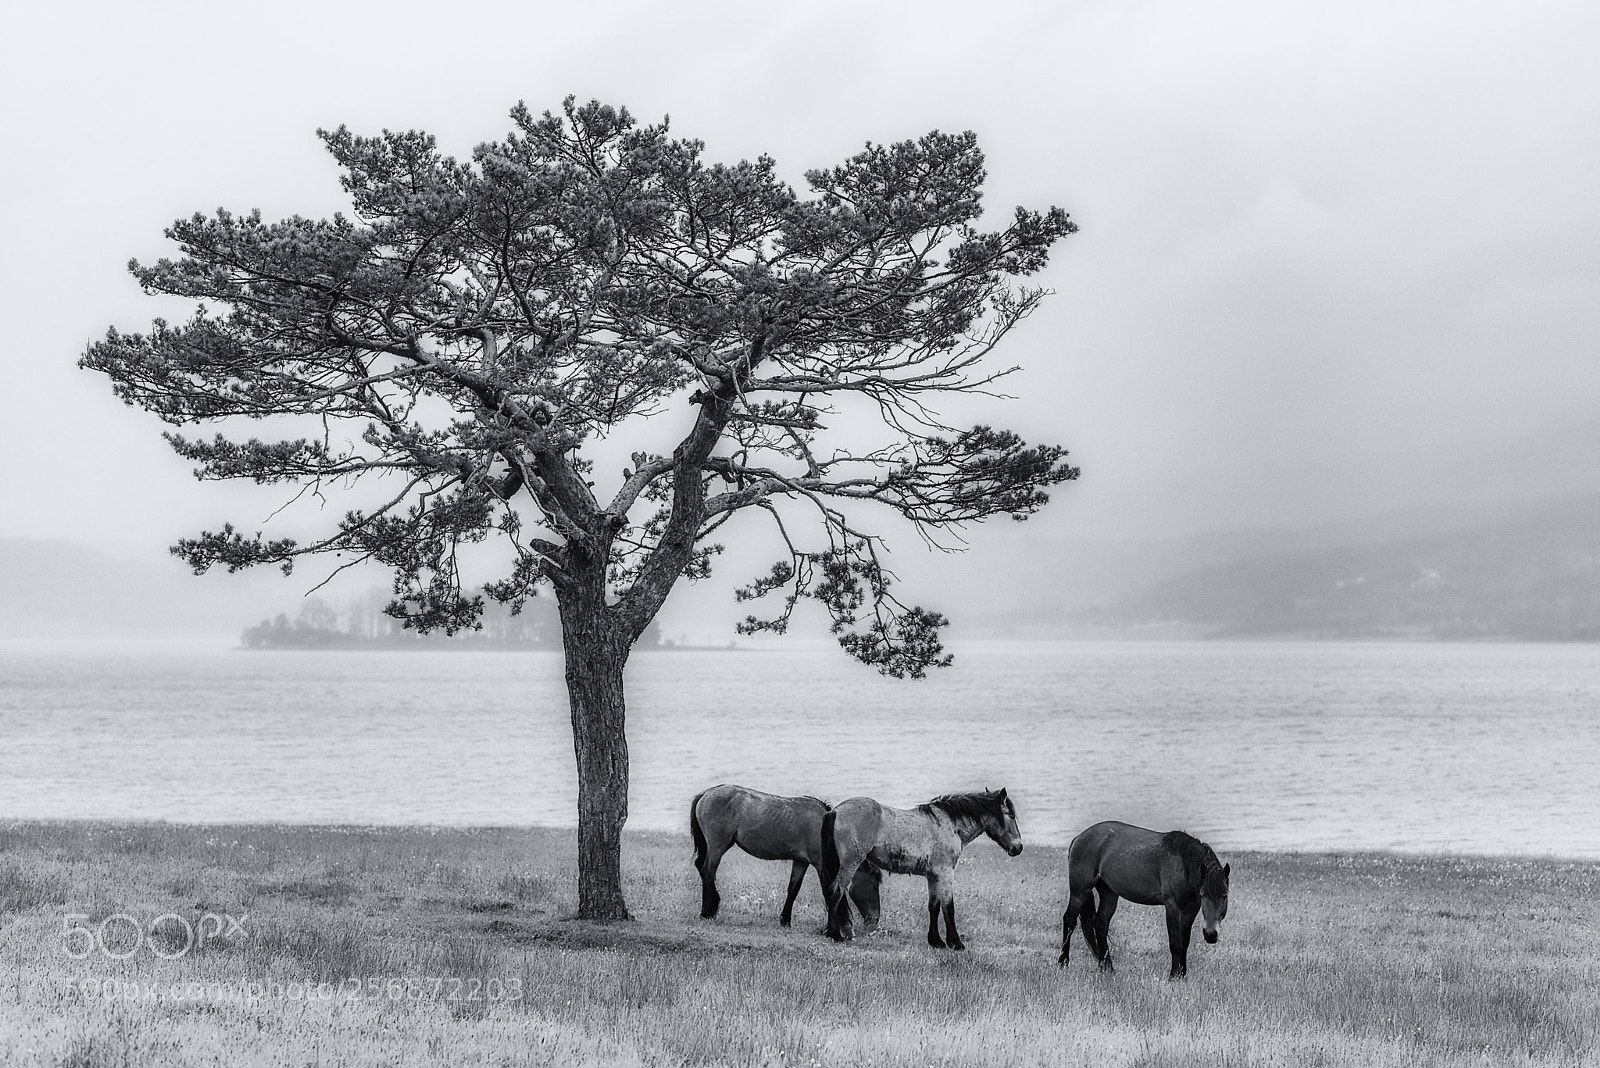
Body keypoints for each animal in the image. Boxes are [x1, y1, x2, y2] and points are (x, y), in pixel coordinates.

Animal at [690, 784, 882, 927]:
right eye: (874, 885)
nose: (874, 919)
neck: (826, 828)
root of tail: (705, 793)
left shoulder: (801, 862)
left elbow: (793, 889)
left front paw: (785, 920)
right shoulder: (821, 865)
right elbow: (828, 890)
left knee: (702, 868)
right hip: (717, 846)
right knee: (708, 872)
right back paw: (706, 912)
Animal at [820, 788, 1022, 949]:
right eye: (1011, 816)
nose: (1018, 848)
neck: (950, 824)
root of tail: (836, 811)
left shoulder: (933, 876)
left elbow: (934, 907)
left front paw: (936, 941)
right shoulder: (946, 873)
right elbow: (949, 908)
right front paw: (956, 943)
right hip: (850, 864)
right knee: (835, 892)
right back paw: (834, 934)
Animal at [1058, 821, 1230, 979]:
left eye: (1225, 896)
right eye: (1203, 895)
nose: (1211, 934)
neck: (1182, 865)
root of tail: (1079, 838)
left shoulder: (1190, 909)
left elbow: (1184, 942)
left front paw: (1183, 974)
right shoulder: (1172, 906)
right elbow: (1175, 943)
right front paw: (1174, 976)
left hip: (1109, 893)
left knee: (1100, 924)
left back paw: (1107, 968)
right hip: (1080, 890)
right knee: (1069, 920)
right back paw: (1063, 963)